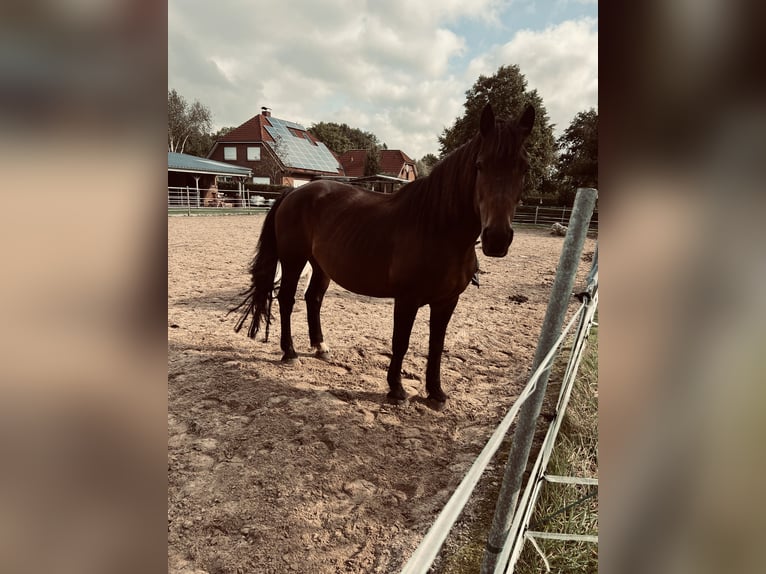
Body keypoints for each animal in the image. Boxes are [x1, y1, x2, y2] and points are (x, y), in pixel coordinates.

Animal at [232, 103, 536, 410]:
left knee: (313, 299)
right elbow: (400, 342)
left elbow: (436, 345)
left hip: (321, 266)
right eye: (479, 165)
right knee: (286, 300)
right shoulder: (407, 300)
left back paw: (320, 347)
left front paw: (436, 393)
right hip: (294, 260)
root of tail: (293, 192)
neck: (439, 230)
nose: (497, 238)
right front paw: (396, 389)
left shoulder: (447, 302)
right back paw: (290, 352)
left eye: (525, 168)